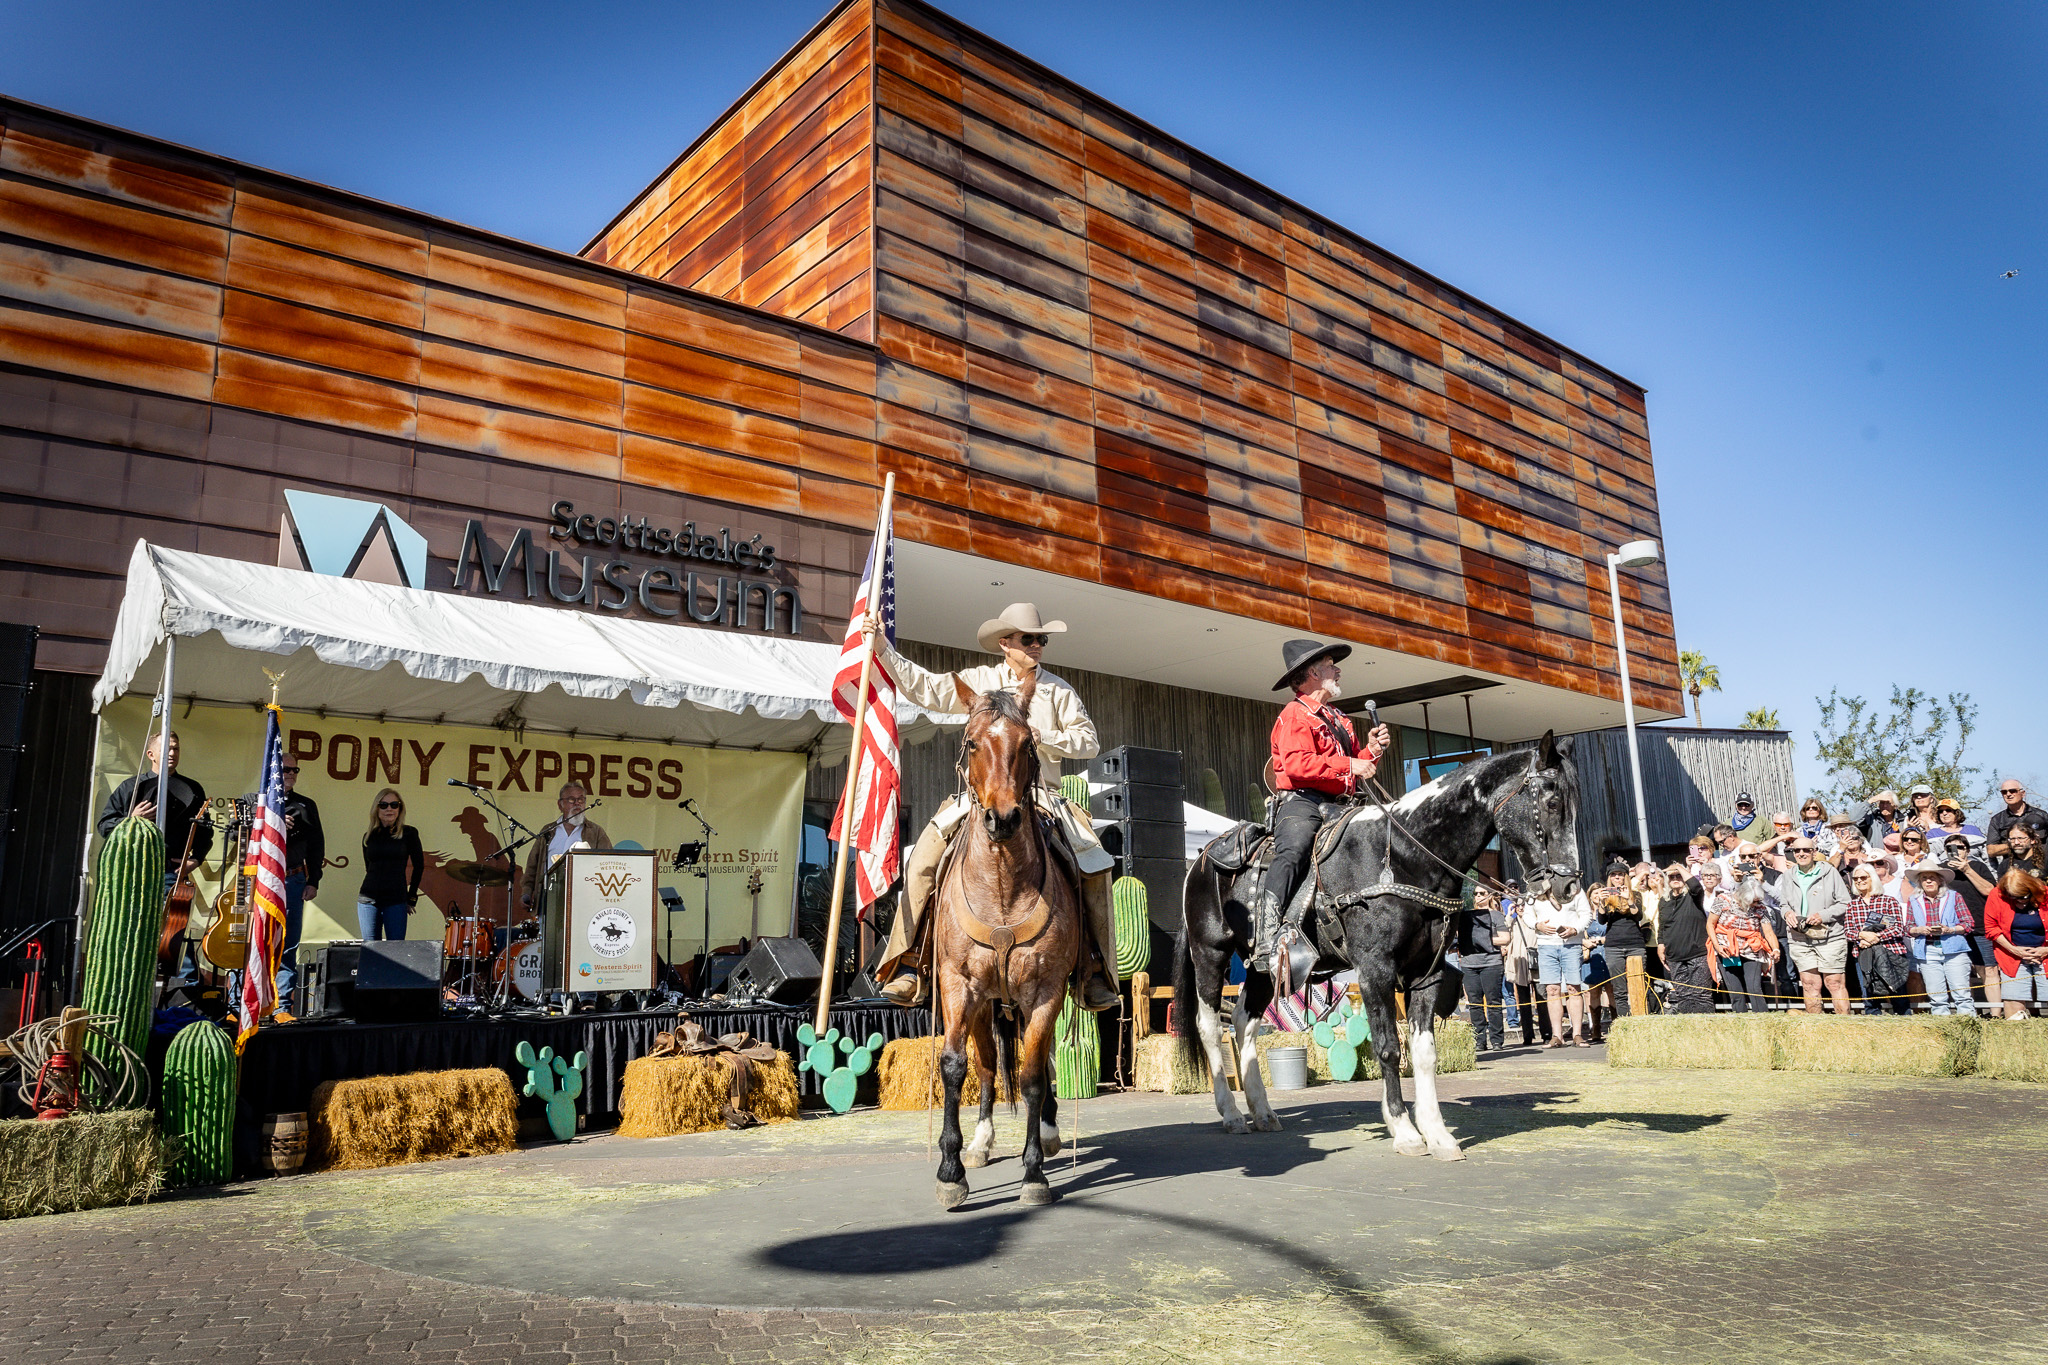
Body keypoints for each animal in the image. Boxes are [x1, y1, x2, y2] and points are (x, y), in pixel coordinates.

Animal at [930, 671, 1082, 1209]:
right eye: (974, 742)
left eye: (1028, 744)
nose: (1003, 818)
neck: (1000, 887)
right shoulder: (958, 984)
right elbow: (956, 1066)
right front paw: (950, 1170)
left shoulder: (1046, 990)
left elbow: (1035, 1075)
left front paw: (1034, 1172)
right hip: (985, 1003)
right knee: (989, 1065)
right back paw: (980, 1142)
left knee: (1044, 1060)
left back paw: (1052, 1134)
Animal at [1174, 732, 1580, 1159]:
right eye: (1553, 802)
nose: (1569, 885)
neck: (1404, 856)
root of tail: (1202, 858)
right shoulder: (1375, 970)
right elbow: (1387, 1047)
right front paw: (1404, 1130)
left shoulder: (1427, 973)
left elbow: (1424, 1052)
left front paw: (1437, 1134)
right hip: (1210, 955)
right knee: (1209, 1028)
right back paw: (1232, 1114)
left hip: (1265, 969)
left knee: (1243, 1024)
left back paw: (1263, 1111)